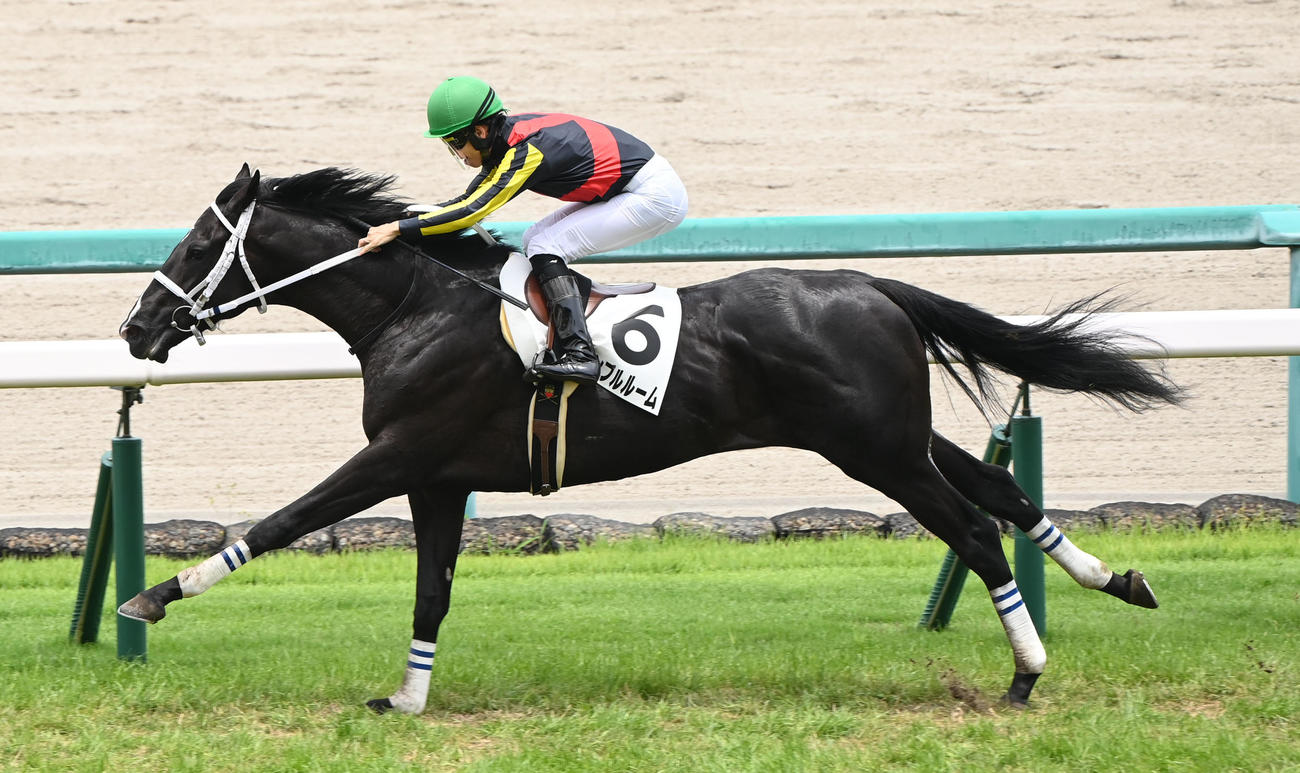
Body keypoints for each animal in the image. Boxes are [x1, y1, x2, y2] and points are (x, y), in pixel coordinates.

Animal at [117, 164, 1180, 714]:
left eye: (197, 247)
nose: (136, 329)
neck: (414, 307)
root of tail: (874, 283)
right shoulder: (439, 476)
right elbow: (430, 591)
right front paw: (408, 701)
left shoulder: (401, 454)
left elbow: (287, 519)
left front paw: (154, 596)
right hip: (894, 437)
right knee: (1004, 495)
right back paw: (1116, 580)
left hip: (874, 451)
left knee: (974, 527)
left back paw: (1026, 672)